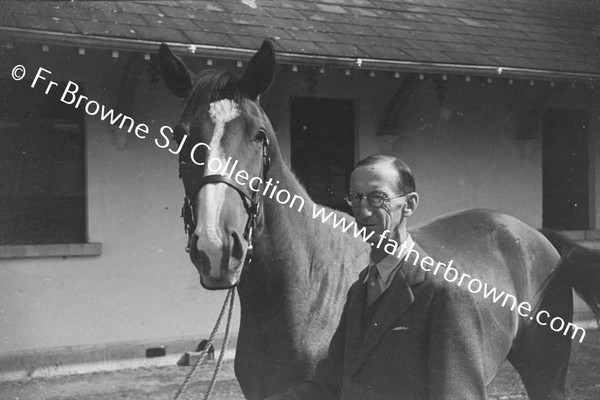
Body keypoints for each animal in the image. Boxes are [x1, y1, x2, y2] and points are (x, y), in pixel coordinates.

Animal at [158, 38, 600, 400]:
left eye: (259, 135)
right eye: (179, 136)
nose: (216, 247)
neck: (306, 283)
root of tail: (531, 235)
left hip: (544, 373)